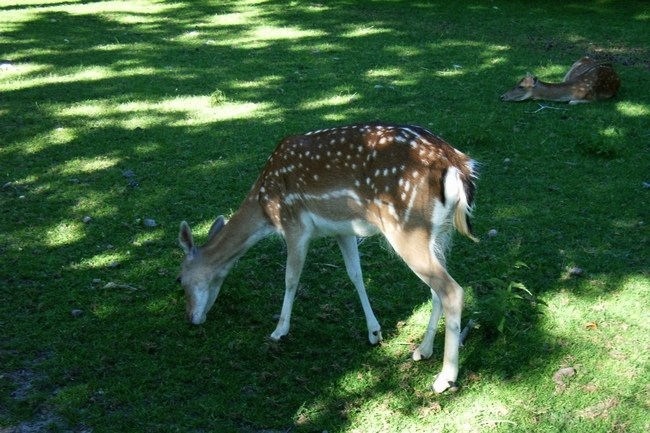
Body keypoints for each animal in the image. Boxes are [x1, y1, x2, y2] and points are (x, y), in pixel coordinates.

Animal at [177, 121, 476, 392]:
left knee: (451, 290)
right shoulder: (342, 229)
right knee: (436, 290)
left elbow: (291, 279)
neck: (264, 210)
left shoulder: (294, 224)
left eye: (179, 279)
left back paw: (444, 378)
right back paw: (422, 350)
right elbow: (355, 275)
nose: (191, 317)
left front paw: (279, 331)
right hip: (437, 233)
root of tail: (458, 165)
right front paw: (374, 332)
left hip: (407, 227)